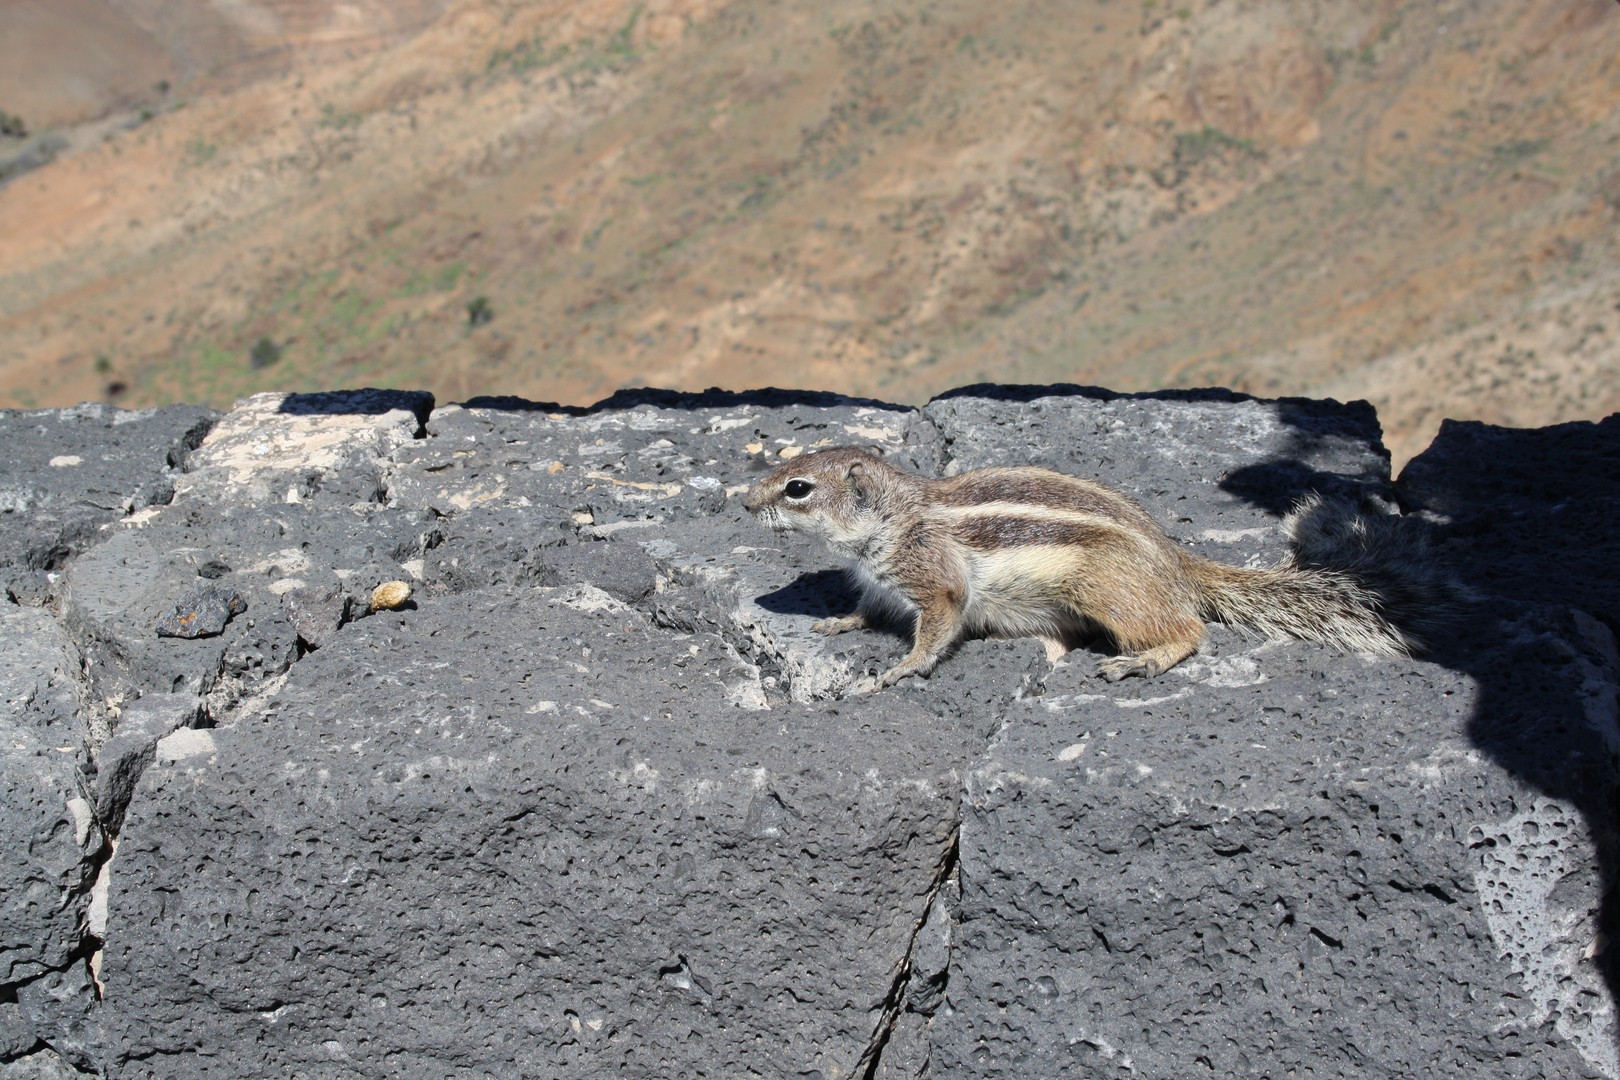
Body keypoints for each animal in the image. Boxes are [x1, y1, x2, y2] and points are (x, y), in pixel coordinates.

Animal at [741, 446, 1464, 693]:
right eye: (782, 467)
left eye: (798, 488)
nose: (743, 502)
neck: (893, 516)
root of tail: (1176, 561)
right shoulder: (884, 581)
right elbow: (869, 607)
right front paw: (840, 622)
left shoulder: (936, 578)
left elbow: (939, 624)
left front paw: (900, 669)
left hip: (1104, 589)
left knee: (1189, 630)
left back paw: (1142, 661)